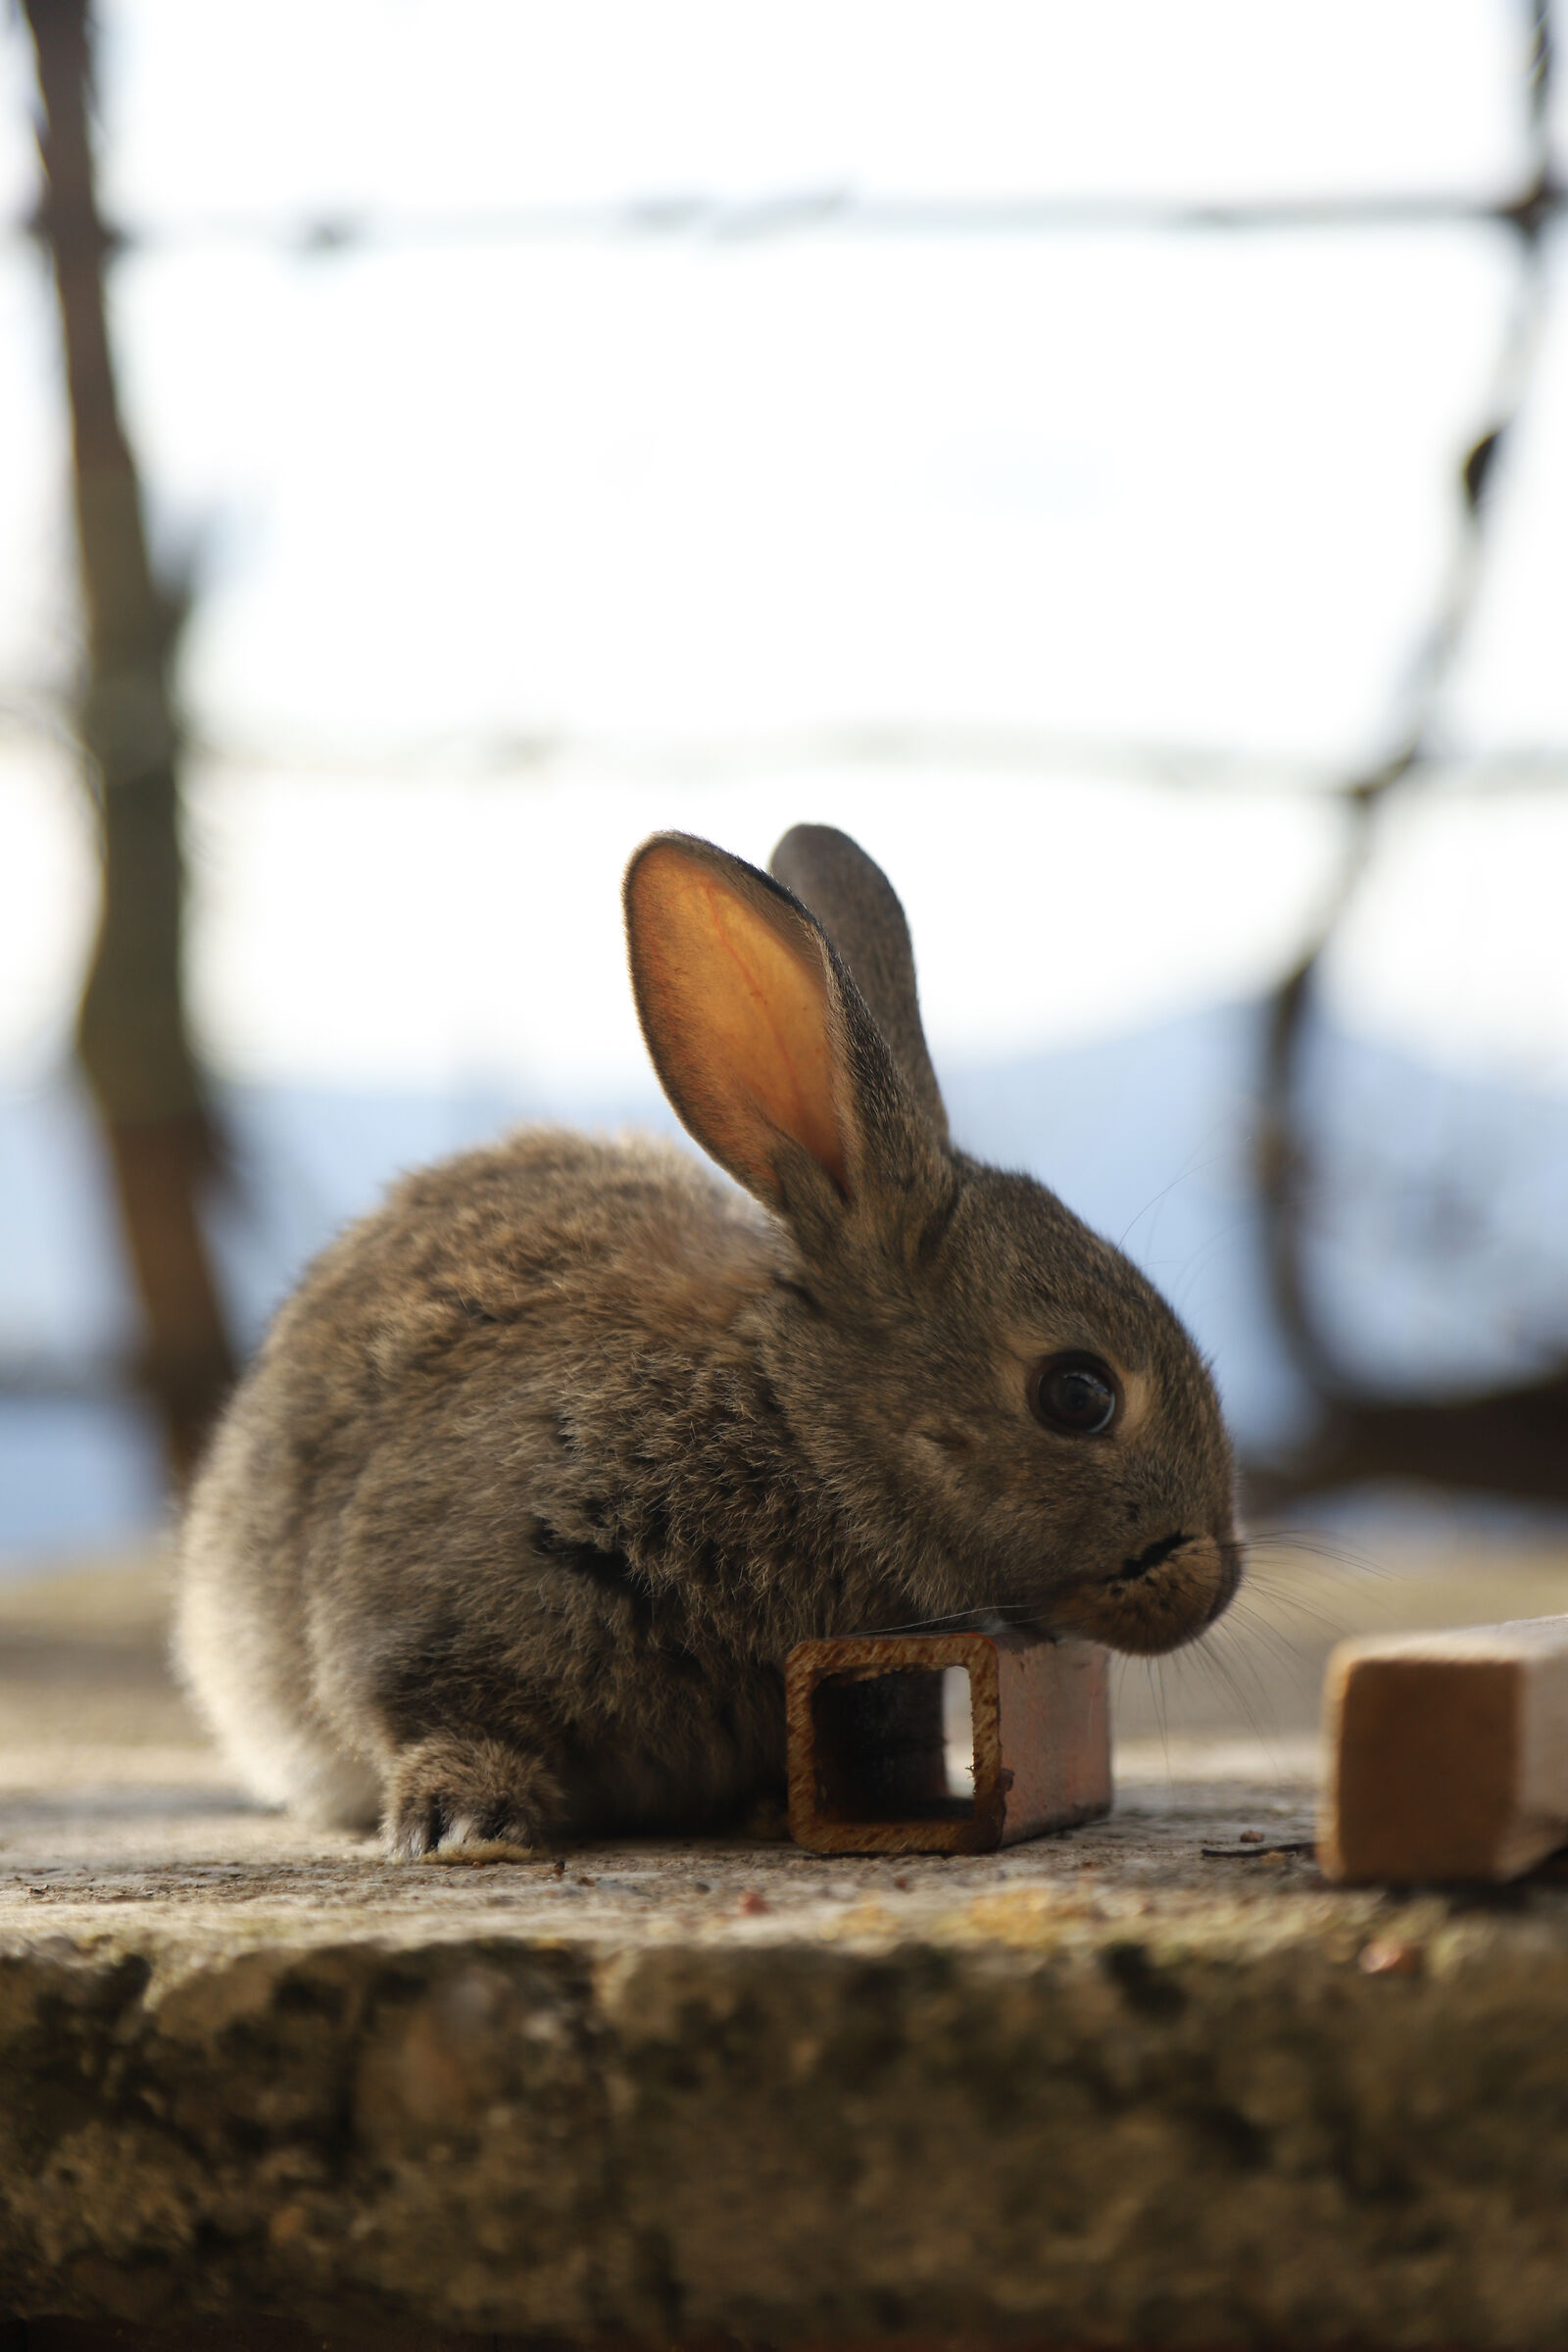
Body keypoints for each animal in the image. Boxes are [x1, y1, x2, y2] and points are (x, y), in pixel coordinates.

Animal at [174, 824, 1243, 1857]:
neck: (794, 1432)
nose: (1212, 1587)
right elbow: (440, 1717)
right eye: (1078, 1394)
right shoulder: (421, 1619)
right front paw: (465, 1822)